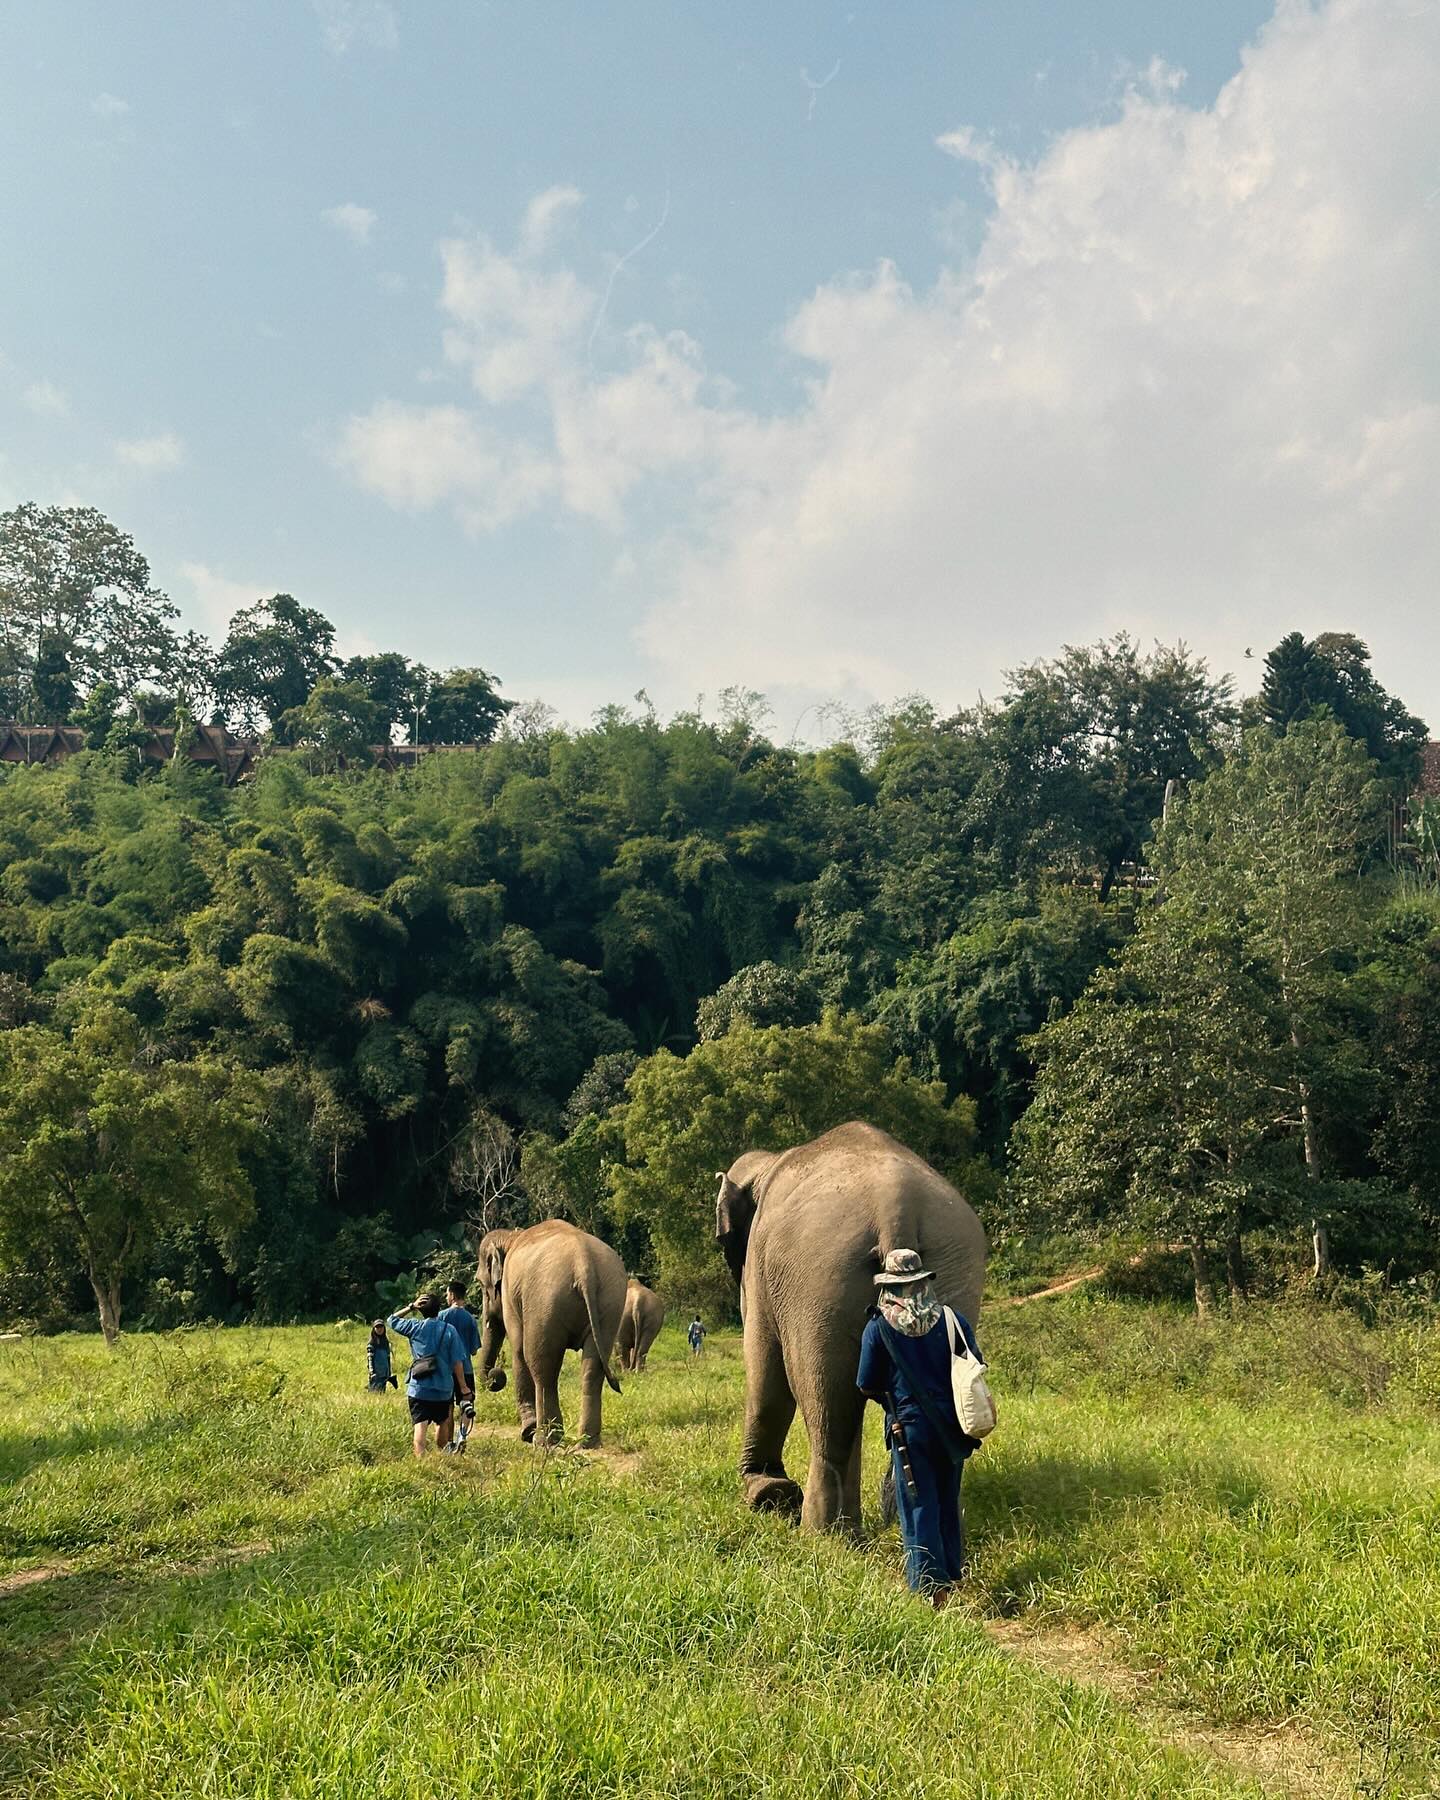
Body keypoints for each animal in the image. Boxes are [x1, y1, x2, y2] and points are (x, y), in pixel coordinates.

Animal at [478, 1209, 622, 1447]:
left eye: (480, 1283)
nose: (495, 1376)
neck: (512, 1236)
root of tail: (584, 1264)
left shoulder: (510, 1293)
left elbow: (518, 1349)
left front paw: (526, 1433)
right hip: (609, 1303)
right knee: (593, 1368)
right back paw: (587, 1441)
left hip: (545, 1300)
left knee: (541, 1364)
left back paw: (544, 1440)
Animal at [712, 1123, 986, 1533]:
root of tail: (895, 1203)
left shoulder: (760, 1269)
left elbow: (764, 1364)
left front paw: (764, 1494)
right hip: (954, 1267)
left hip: (818, 1278)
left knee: (827, 1408)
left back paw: (823, 1535)